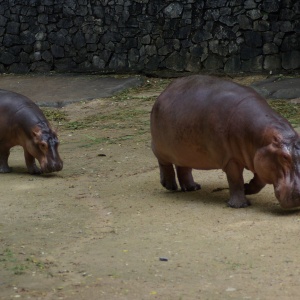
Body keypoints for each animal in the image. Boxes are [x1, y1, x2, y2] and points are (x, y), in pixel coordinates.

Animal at [151, 75, 300, 209]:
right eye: (284, 157)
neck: (261, 138)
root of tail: (165, 91)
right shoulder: (231, 159)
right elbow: (235, 180)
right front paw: (240, 205)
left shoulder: (259, 158)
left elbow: (259, 182)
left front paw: (247, 188)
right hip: (160, 147)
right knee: (164, 163)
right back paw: (170, 186)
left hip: (184, 148)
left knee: (183, 166)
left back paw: (192, 187)